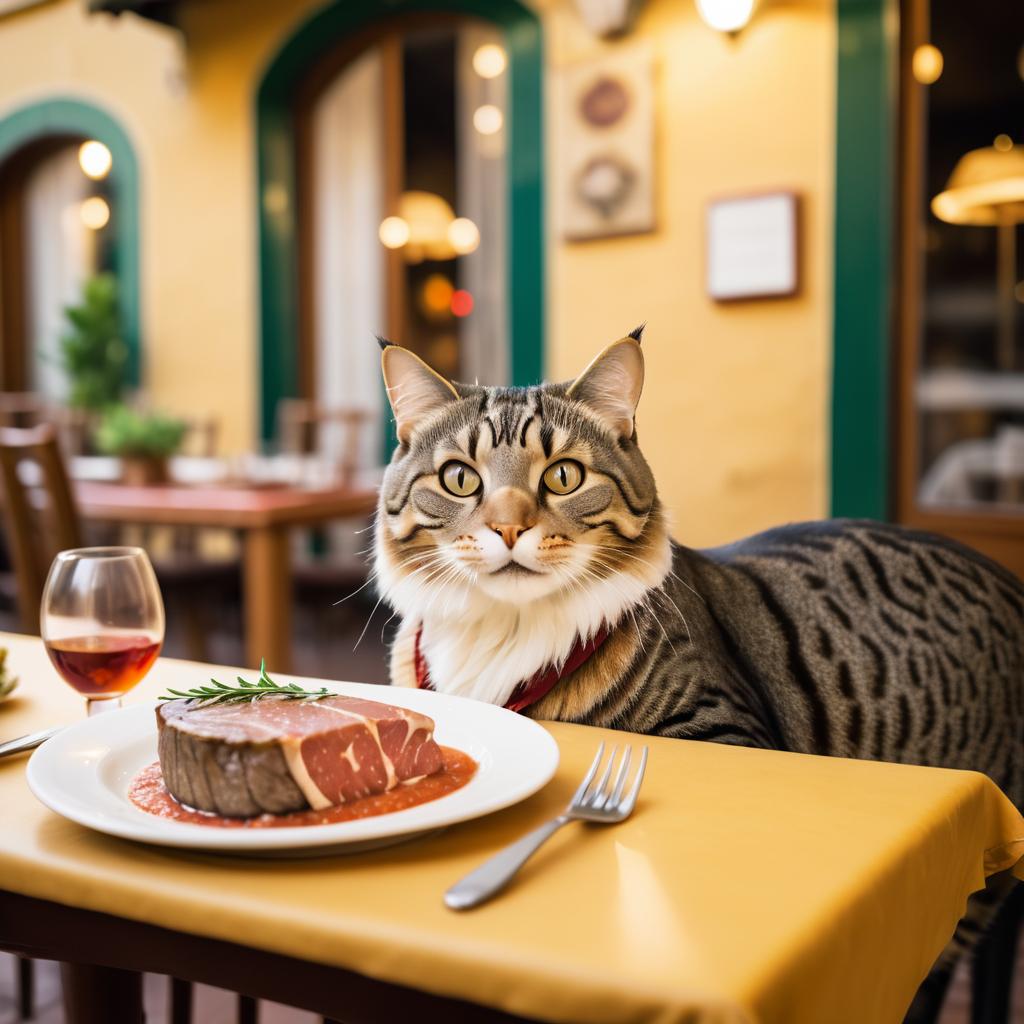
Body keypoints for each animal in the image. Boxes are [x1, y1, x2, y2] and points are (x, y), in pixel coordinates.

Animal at [376, 331, 1024, 1019]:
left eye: (563, 475)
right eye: (459, 479)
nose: (507, 527)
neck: (504, 630)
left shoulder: (728, 729)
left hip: (974, 894)